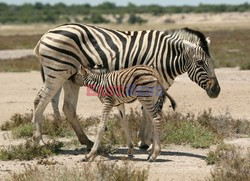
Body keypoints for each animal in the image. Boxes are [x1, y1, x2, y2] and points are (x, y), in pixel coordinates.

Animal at [33, 23, 221, 148]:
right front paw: (148, 143)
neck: (166, 56)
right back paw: (39, 141)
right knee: (40, 101)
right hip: (57, 72)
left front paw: (144, 141)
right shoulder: (152, 84)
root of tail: (46, 33)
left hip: (71, 78)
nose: (216, 90)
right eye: (199, 63)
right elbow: (153, 111)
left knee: (68, 108)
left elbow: (148, 112)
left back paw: (86, 141)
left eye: (213, 62)